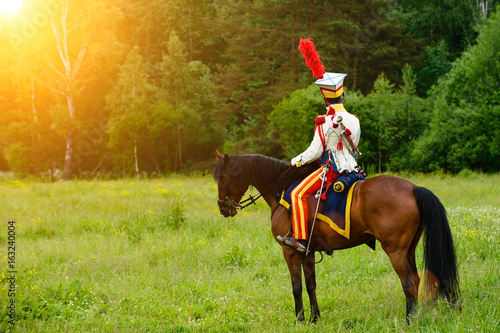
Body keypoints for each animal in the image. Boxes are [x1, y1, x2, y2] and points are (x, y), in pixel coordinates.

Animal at [213, 150, 458, 322]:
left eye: (223, 177)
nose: (223, 208)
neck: (281, 189)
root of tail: (413, 188)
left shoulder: (289, 251)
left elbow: (296, 287)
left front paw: (299, 319)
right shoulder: (307, 252)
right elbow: (310, 284)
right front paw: (314, 318)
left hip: (395, 250)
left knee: (409, 282)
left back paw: (409, 320)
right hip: (409, 249)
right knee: (416, 279)